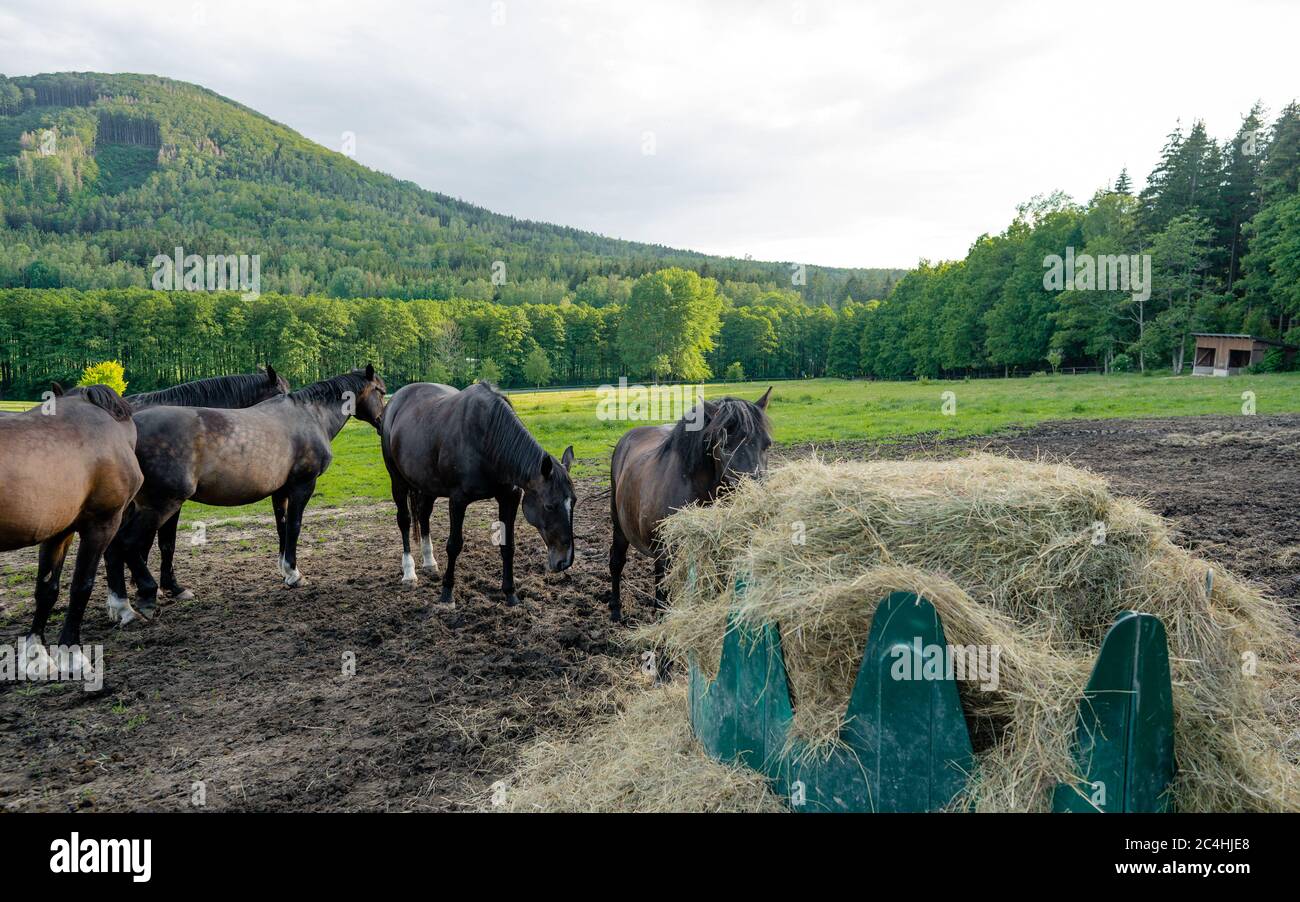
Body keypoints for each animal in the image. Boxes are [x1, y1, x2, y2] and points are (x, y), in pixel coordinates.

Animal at [0, 384, 143, 675]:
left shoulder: (57, 531)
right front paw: (71, 654)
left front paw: (36, 654)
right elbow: (81, 586)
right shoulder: (101, 524)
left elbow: (46, 590)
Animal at [380, 381, 576, 607]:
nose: (565, 560)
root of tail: (396, 400)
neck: (489, 439)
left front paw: (511, 594)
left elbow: (508, 546)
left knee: (424, 515)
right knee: (404, 520)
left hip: (427, 484)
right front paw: (446, 594)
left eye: (574, 502)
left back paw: (429, 563)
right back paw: (409, 573)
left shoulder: (509, 498)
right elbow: (454, 545)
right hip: (398, 480)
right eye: (549, 506)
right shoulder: (458, 500)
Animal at [608, 388, 772, 622]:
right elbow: (662, 599)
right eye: (724, 445)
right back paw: (615, 609)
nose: (754, 494)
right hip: (619, 527)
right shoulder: (664, 554)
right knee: (617, 562)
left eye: (767, 444)